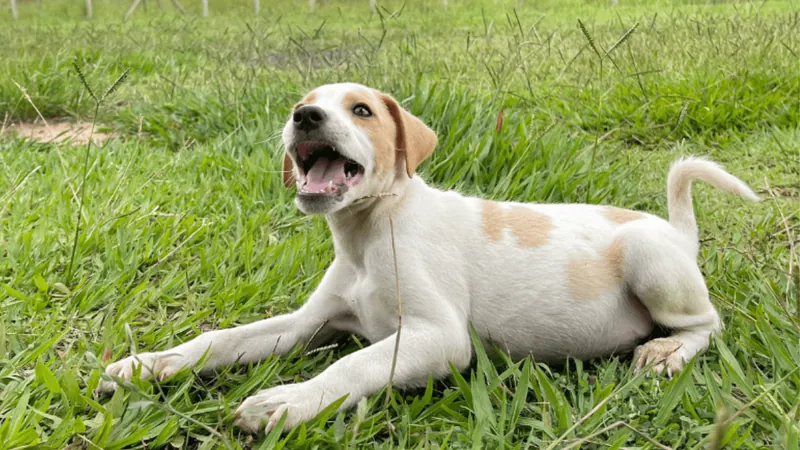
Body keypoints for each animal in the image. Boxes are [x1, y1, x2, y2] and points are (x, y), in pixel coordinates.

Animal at [98, 82, 756, 434]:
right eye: (304, 104)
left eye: (361, 110)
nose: (304, 116)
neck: (370, 232)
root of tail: (676, 234)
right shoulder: (307, 323)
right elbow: (223, 339)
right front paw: (147, 365)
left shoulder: (438, 336)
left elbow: (354, 364)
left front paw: (289, 401)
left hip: (652, 263)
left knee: (709, 324)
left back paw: (667, 352)